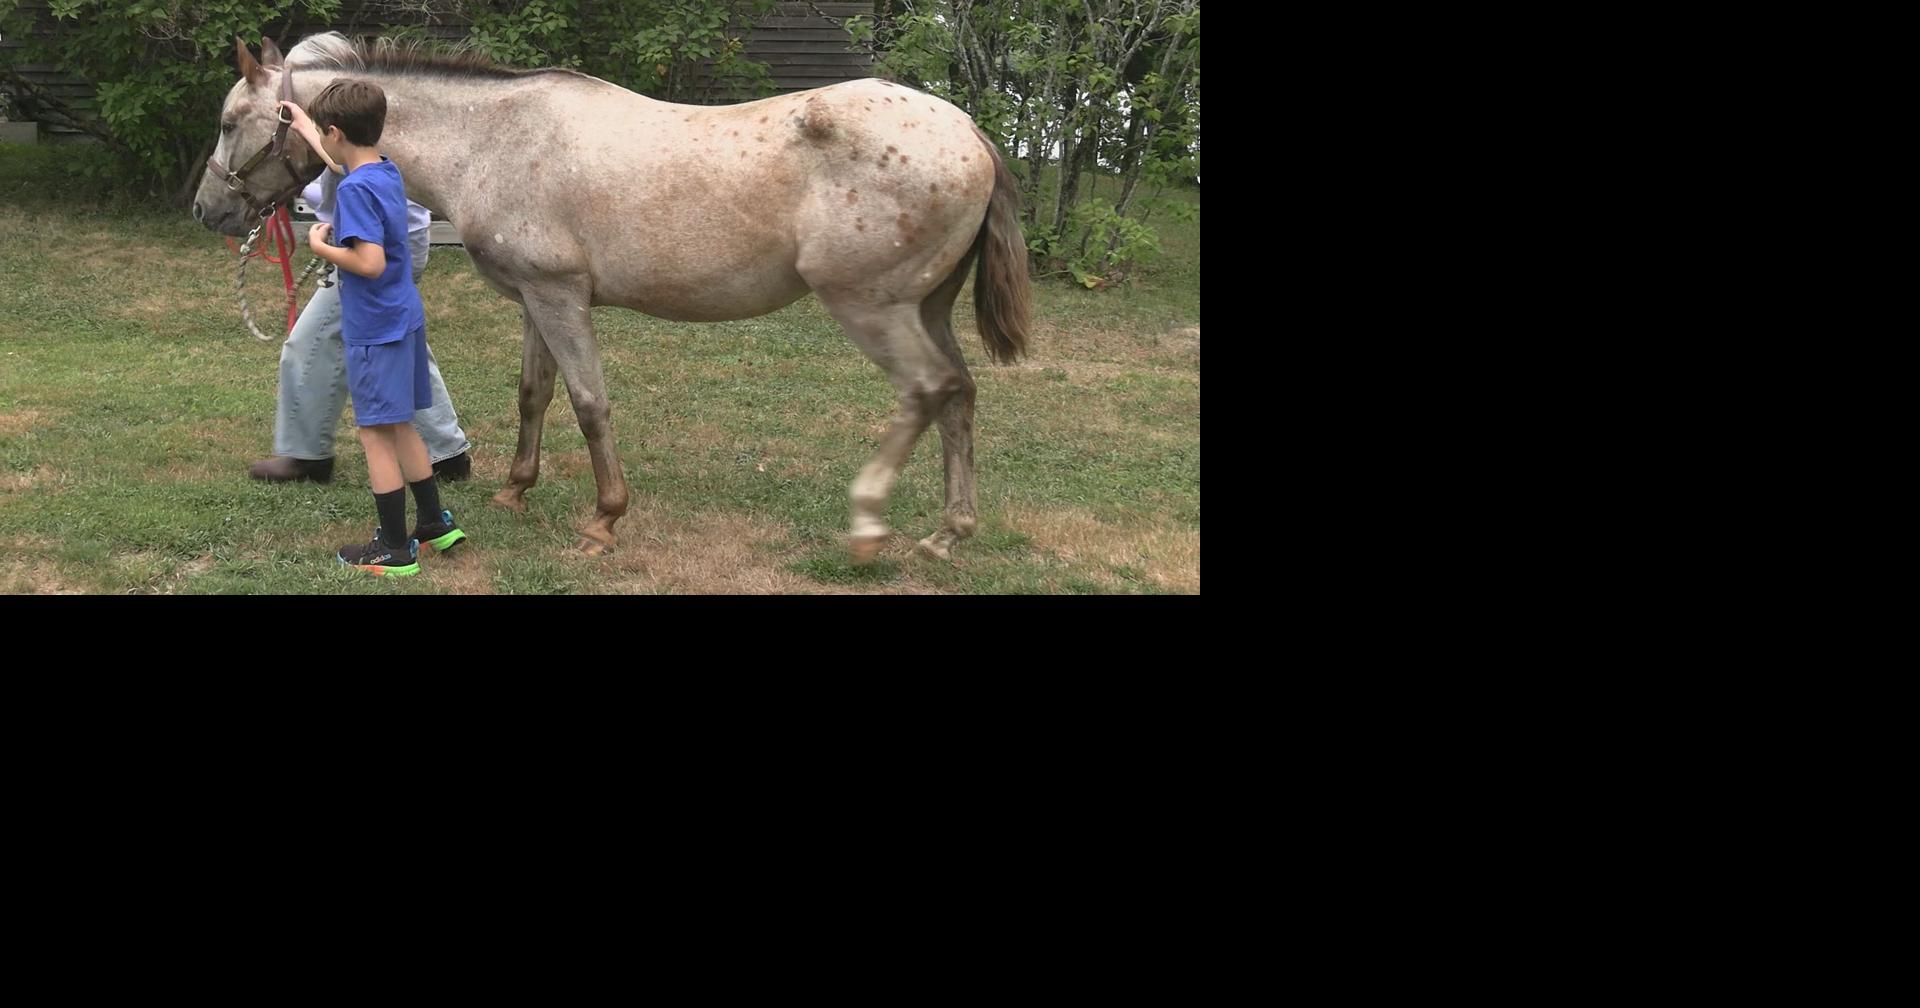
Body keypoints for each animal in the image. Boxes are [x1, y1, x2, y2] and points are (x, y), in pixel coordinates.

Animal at [193, 33, 1029, 562]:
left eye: (233, 121)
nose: (209, 210)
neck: (494, 140)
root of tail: (971, 134)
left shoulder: (562, 299)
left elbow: (590, 404)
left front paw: (604, 520)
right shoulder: (536, 299)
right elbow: (534, 393)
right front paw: (515, 491)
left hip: (872, 308)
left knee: (926, 390)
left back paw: (867, 524)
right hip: (925, 308)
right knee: (959, 393)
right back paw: (948, 533)